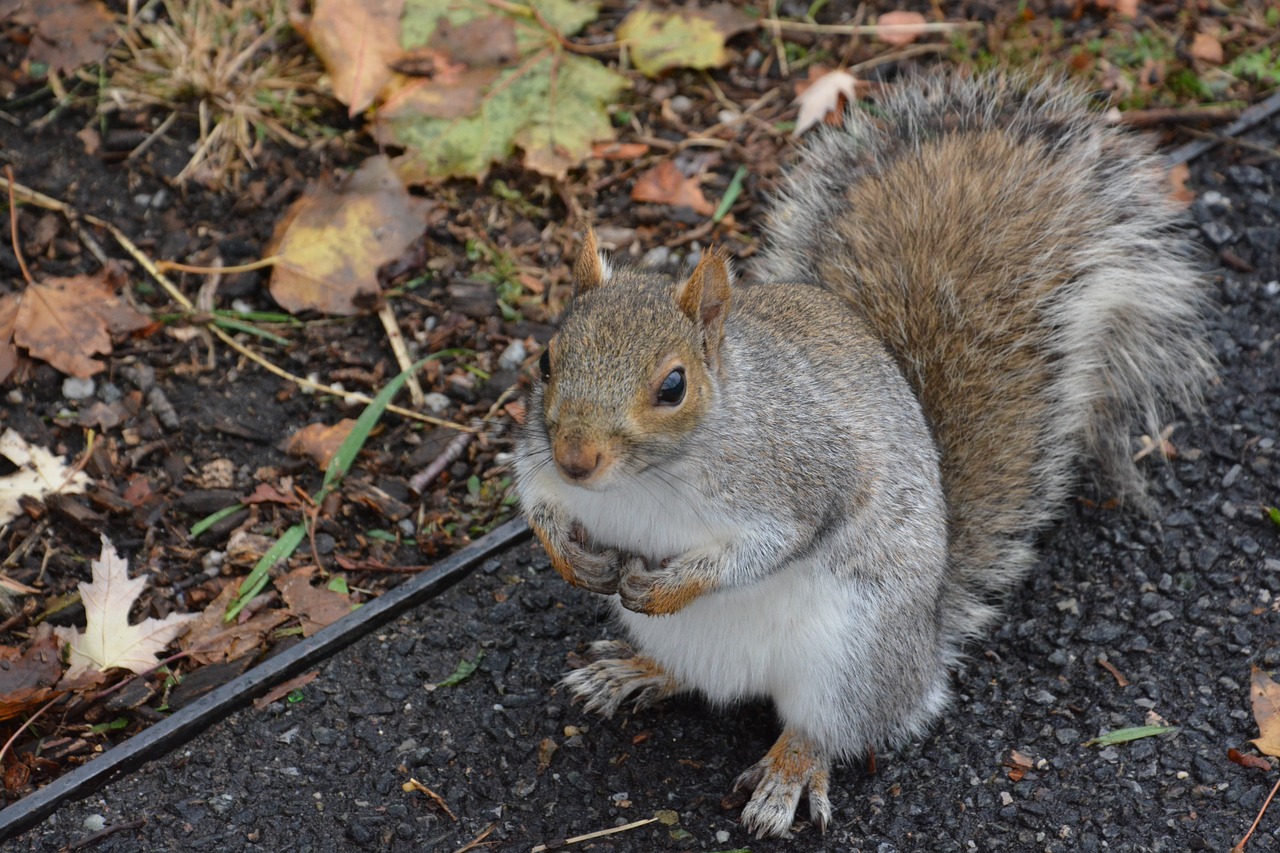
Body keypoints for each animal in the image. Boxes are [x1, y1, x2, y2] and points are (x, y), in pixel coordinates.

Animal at [506, 69, 1208, 835]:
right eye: (546, 359)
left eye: (673, 385)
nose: (577, 458)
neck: (643, 482)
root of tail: (925, 650)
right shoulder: (539, 460)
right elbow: (535, 501)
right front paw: (569, 556)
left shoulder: (801, 476)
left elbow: (769, 544)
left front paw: (673, 583)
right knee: (690, 677)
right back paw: (633, 670)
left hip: (849, 660)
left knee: (831, 728)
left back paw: (788, 772)